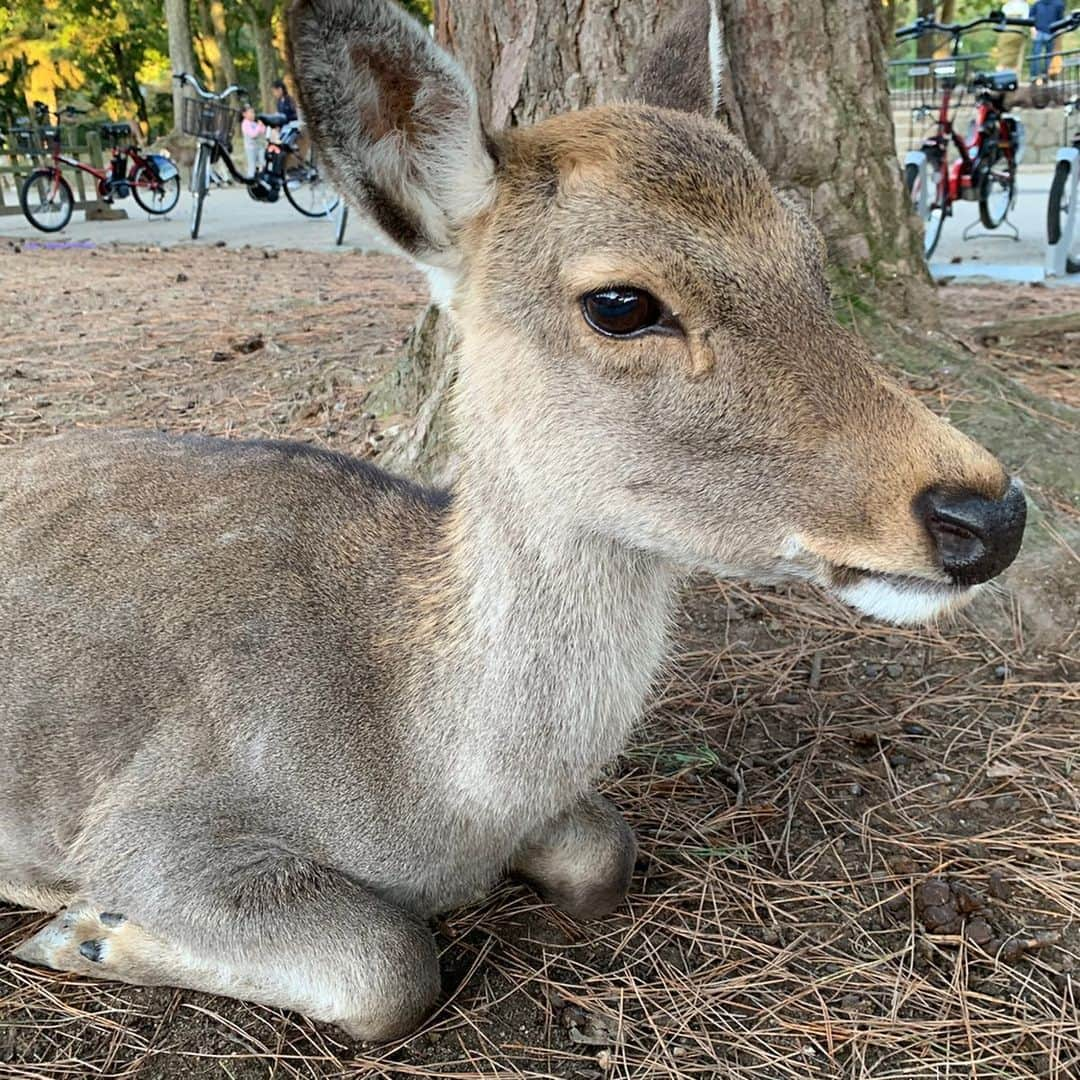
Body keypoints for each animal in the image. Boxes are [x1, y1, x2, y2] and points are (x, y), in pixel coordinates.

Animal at [0, 0, 1023, 1045]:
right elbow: (389, 963)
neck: (442, 793)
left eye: (814, 261)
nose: (990, 513)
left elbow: (606, 848)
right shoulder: (151, 819)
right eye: (621, 302)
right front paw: (86, 933)